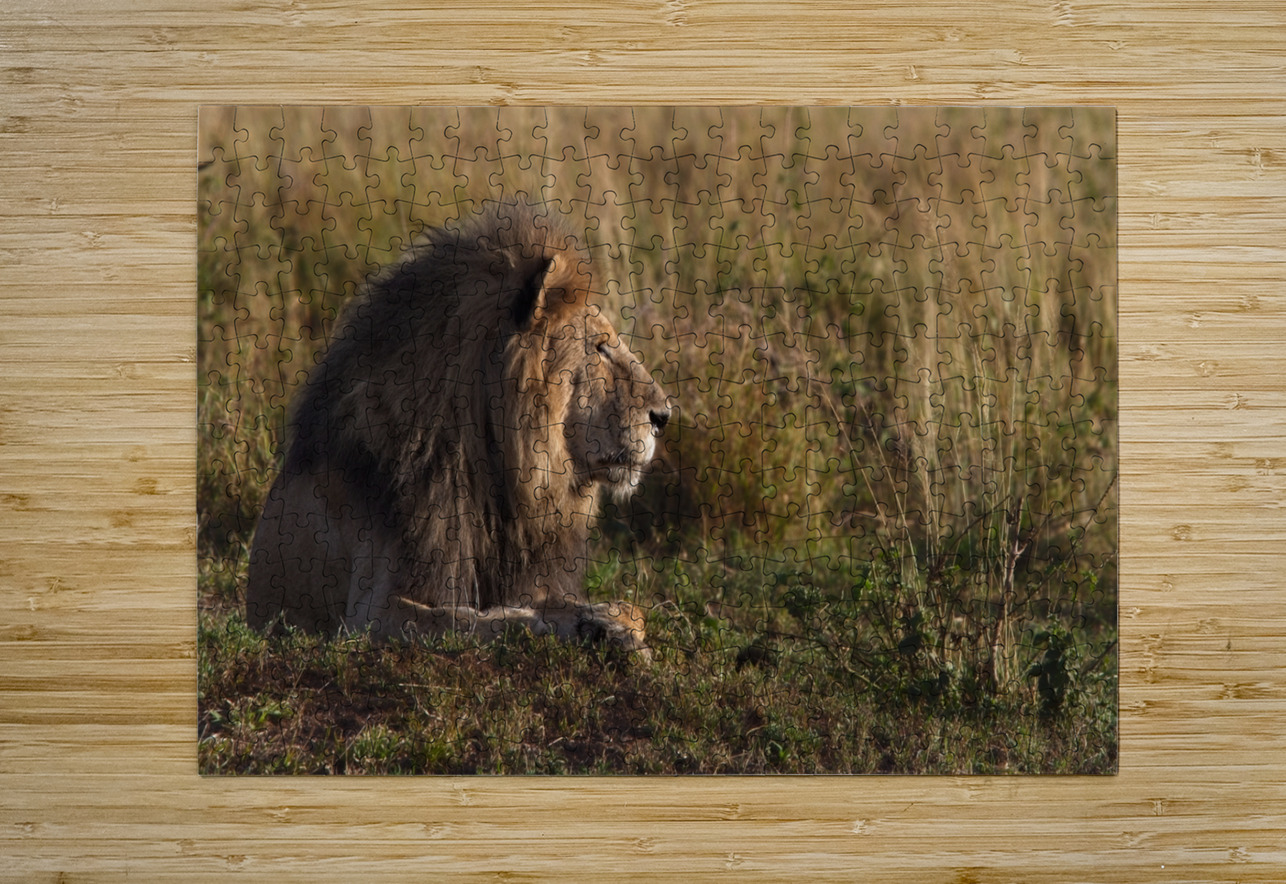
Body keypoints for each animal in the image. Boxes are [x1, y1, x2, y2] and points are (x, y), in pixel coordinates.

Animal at [244, 202, 671, 658]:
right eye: (600, 348)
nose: (664, 415)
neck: (496, 468)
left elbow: (601, 607)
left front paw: (610, 621)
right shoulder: (372, 613)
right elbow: (478, 620)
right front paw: (583, 628)